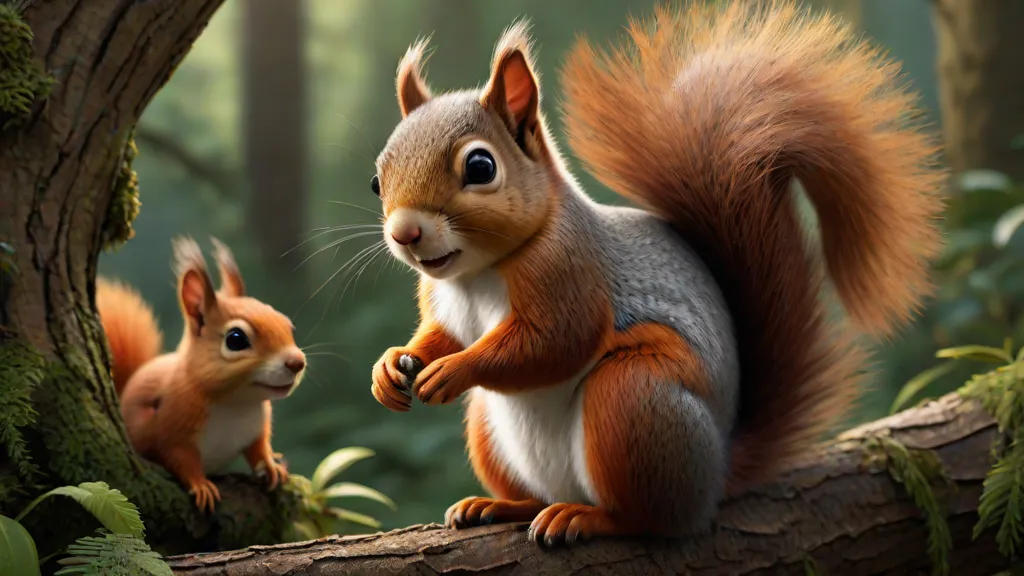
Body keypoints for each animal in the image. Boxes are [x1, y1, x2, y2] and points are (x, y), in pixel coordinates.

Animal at [97, 237, 305, 512]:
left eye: (288, 325)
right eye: (236, 339)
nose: (297, 363)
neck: (234, 404)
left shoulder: (256, 428)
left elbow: (258, 448)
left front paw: (270, 465)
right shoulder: (173, 427)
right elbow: (180, 458)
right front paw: (201, 485)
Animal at [370, 1, 943, 546]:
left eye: (481, 167)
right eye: (378, 179)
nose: (405, 233)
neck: (478, 273)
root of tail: (716, 476)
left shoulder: (571, 274)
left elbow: (554, 343)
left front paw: (454, 370)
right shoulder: (445, 303)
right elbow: (441, 336)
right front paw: (392, 365)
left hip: (634, 400)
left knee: (649, 518)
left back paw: (587, 517)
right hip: (492, 427)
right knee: (535, 495)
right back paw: (498, 506)